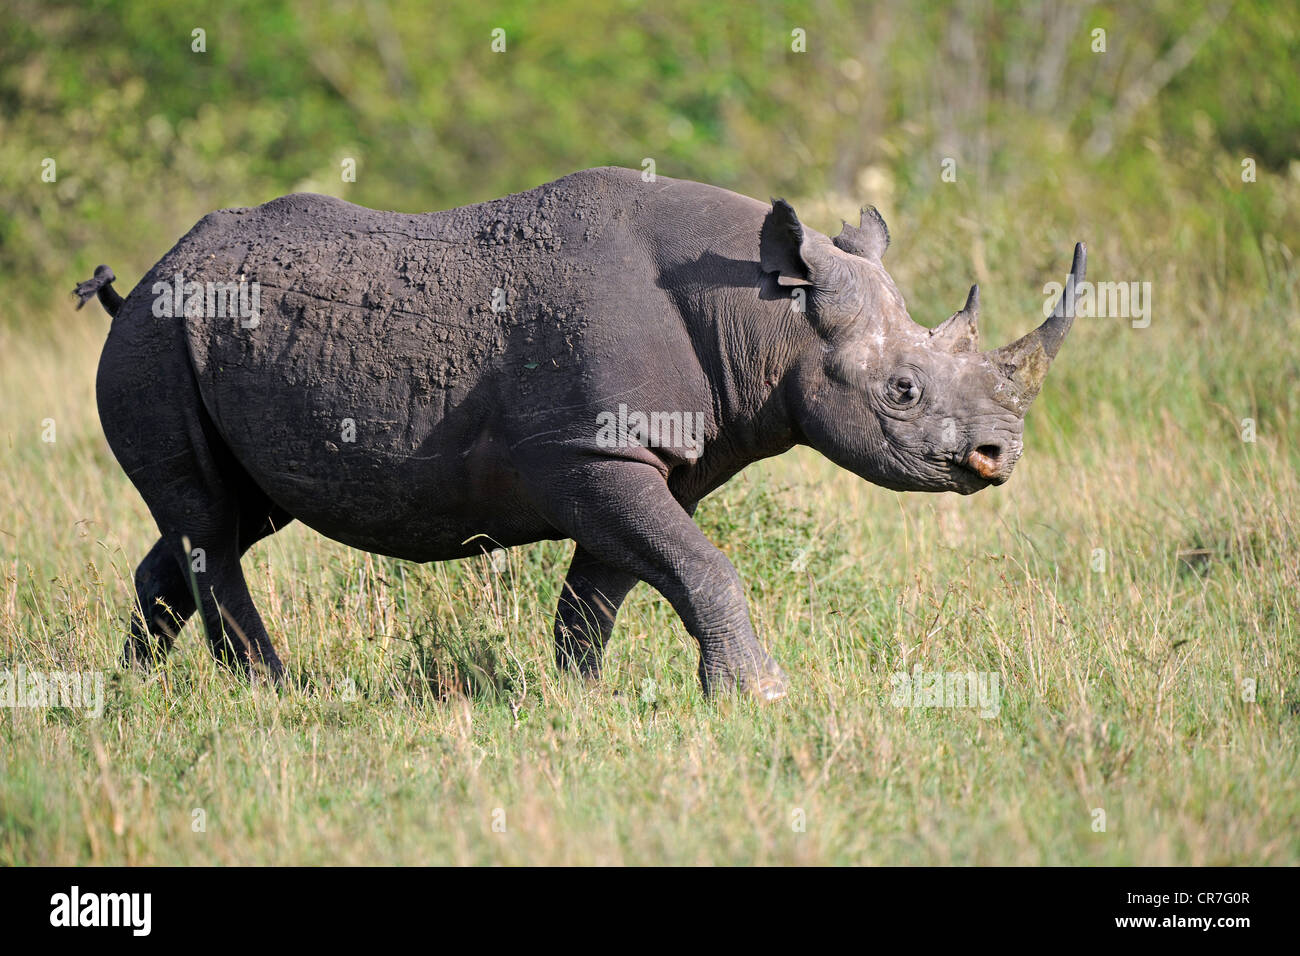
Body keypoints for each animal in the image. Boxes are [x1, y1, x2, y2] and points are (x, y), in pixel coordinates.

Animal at [77, 166, 1084, 700]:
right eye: (903, 392)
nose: (1000, 457)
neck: (763, 314)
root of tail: (148, 273)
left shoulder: (637, 455)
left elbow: (607, 589)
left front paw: (576, 701)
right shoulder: (590, 449)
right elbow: (700, 567)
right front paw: (757, 697)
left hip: (194, 339)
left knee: (227, 513)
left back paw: (131, 692)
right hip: (155, 340)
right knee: (210, 523)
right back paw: (273, 692)